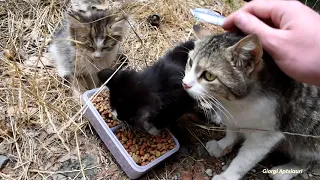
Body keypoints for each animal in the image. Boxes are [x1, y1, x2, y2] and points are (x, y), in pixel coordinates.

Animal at [182, 25, 320, 180]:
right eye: (190, 62)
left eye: (209, 76)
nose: (185, 84)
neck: (236, 103)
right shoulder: (233, 116)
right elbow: (232, 132)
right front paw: (222, 145)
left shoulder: (266, 135)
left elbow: (244, 160)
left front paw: (227, 176)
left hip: (310, 140)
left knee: (308, 160)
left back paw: (285, 170)